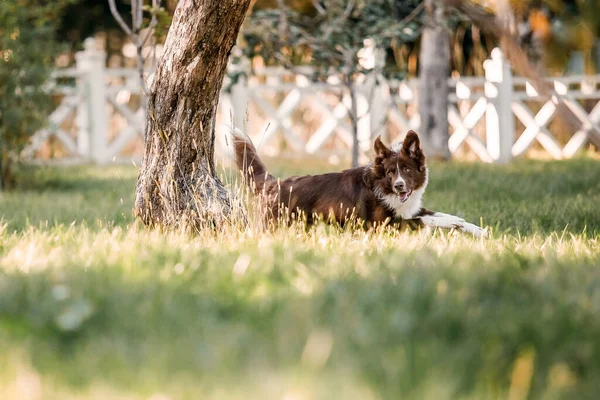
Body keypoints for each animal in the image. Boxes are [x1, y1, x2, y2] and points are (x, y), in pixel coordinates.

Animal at [230, 126, 488, 236]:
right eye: (390, 173)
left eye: (406, 169)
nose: (399, 186)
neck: (383, 188)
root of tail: (275, 183)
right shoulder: (380, 224)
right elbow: (423, 220)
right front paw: (453, 224)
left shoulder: (407, 208)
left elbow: (437, 214)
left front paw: (475, 229)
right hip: (274, 223)